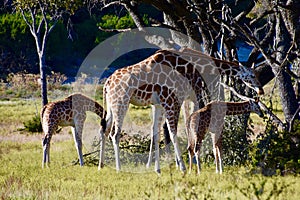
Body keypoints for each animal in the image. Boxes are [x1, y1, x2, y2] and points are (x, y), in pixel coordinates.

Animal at [99, 47, 264, 173]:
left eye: (257, 74)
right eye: (251, 75)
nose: (261, 90)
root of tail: (107, 84)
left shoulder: (162, 103)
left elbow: (157, 133)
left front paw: (158, 168)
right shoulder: (182, 97)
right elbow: (176, 131)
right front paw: (186, 166)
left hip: (112, 105)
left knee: (104, 130)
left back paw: (101, 166)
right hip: (121, 102)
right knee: (115, 134)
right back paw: (118, 168)